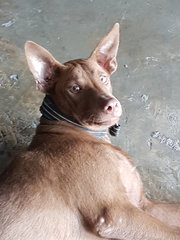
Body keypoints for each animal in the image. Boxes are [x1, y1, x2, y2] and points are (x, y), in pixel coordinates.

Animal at [0, 23, 180, 240]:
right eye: (75, 88)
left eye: (103, 78)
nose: (112, 105)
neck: (79, 131)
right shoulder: (117, 214)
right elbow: (174, 232)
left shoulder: (144, 204)